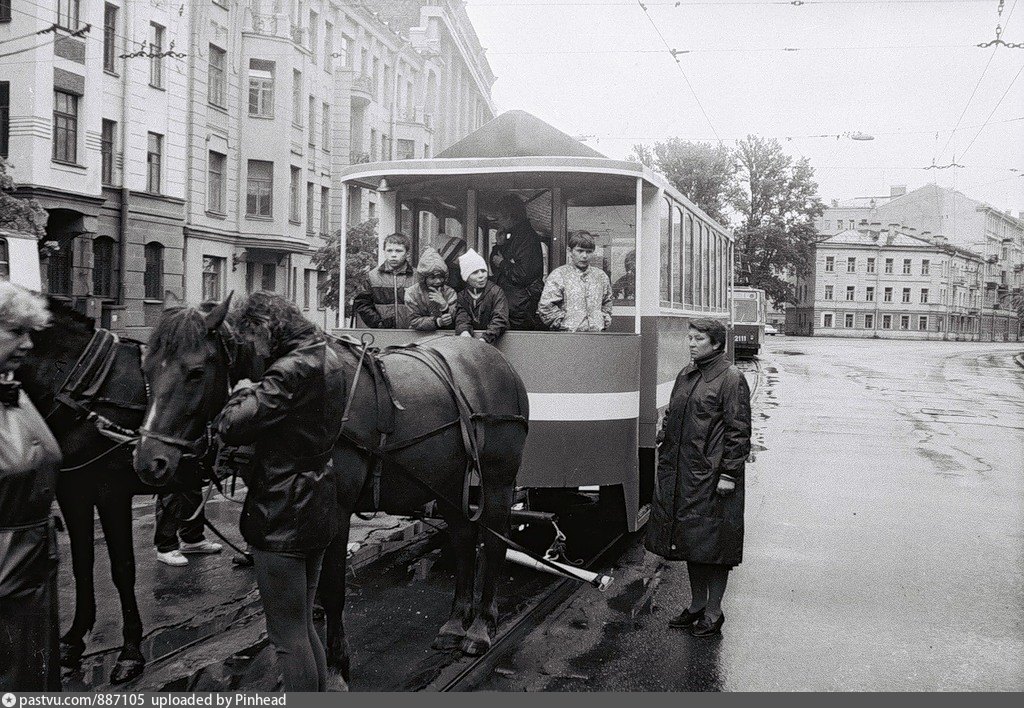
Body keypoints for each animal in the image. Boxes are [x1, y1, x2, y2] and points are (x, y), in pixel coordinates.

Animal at [17, 297, 151, 684]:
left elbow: (122, 567)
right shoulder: (73, 490)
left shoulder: (110, 493)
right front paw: (73, 639)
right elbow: (82, 563)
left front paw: (130, 651)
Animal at [134, 293, 528, 680]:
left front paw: (338, 667)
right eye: (147, 369)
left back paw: (480, 627)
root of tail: (498, 361)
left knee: (494, 544)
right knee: (463, 540)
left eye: (196, 372)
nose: (149, 461)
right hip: (447, 483)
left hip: (496, 483)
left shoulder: (335, 514)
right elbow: (314, 598)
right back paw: (455, 624)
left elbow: (333, 590)